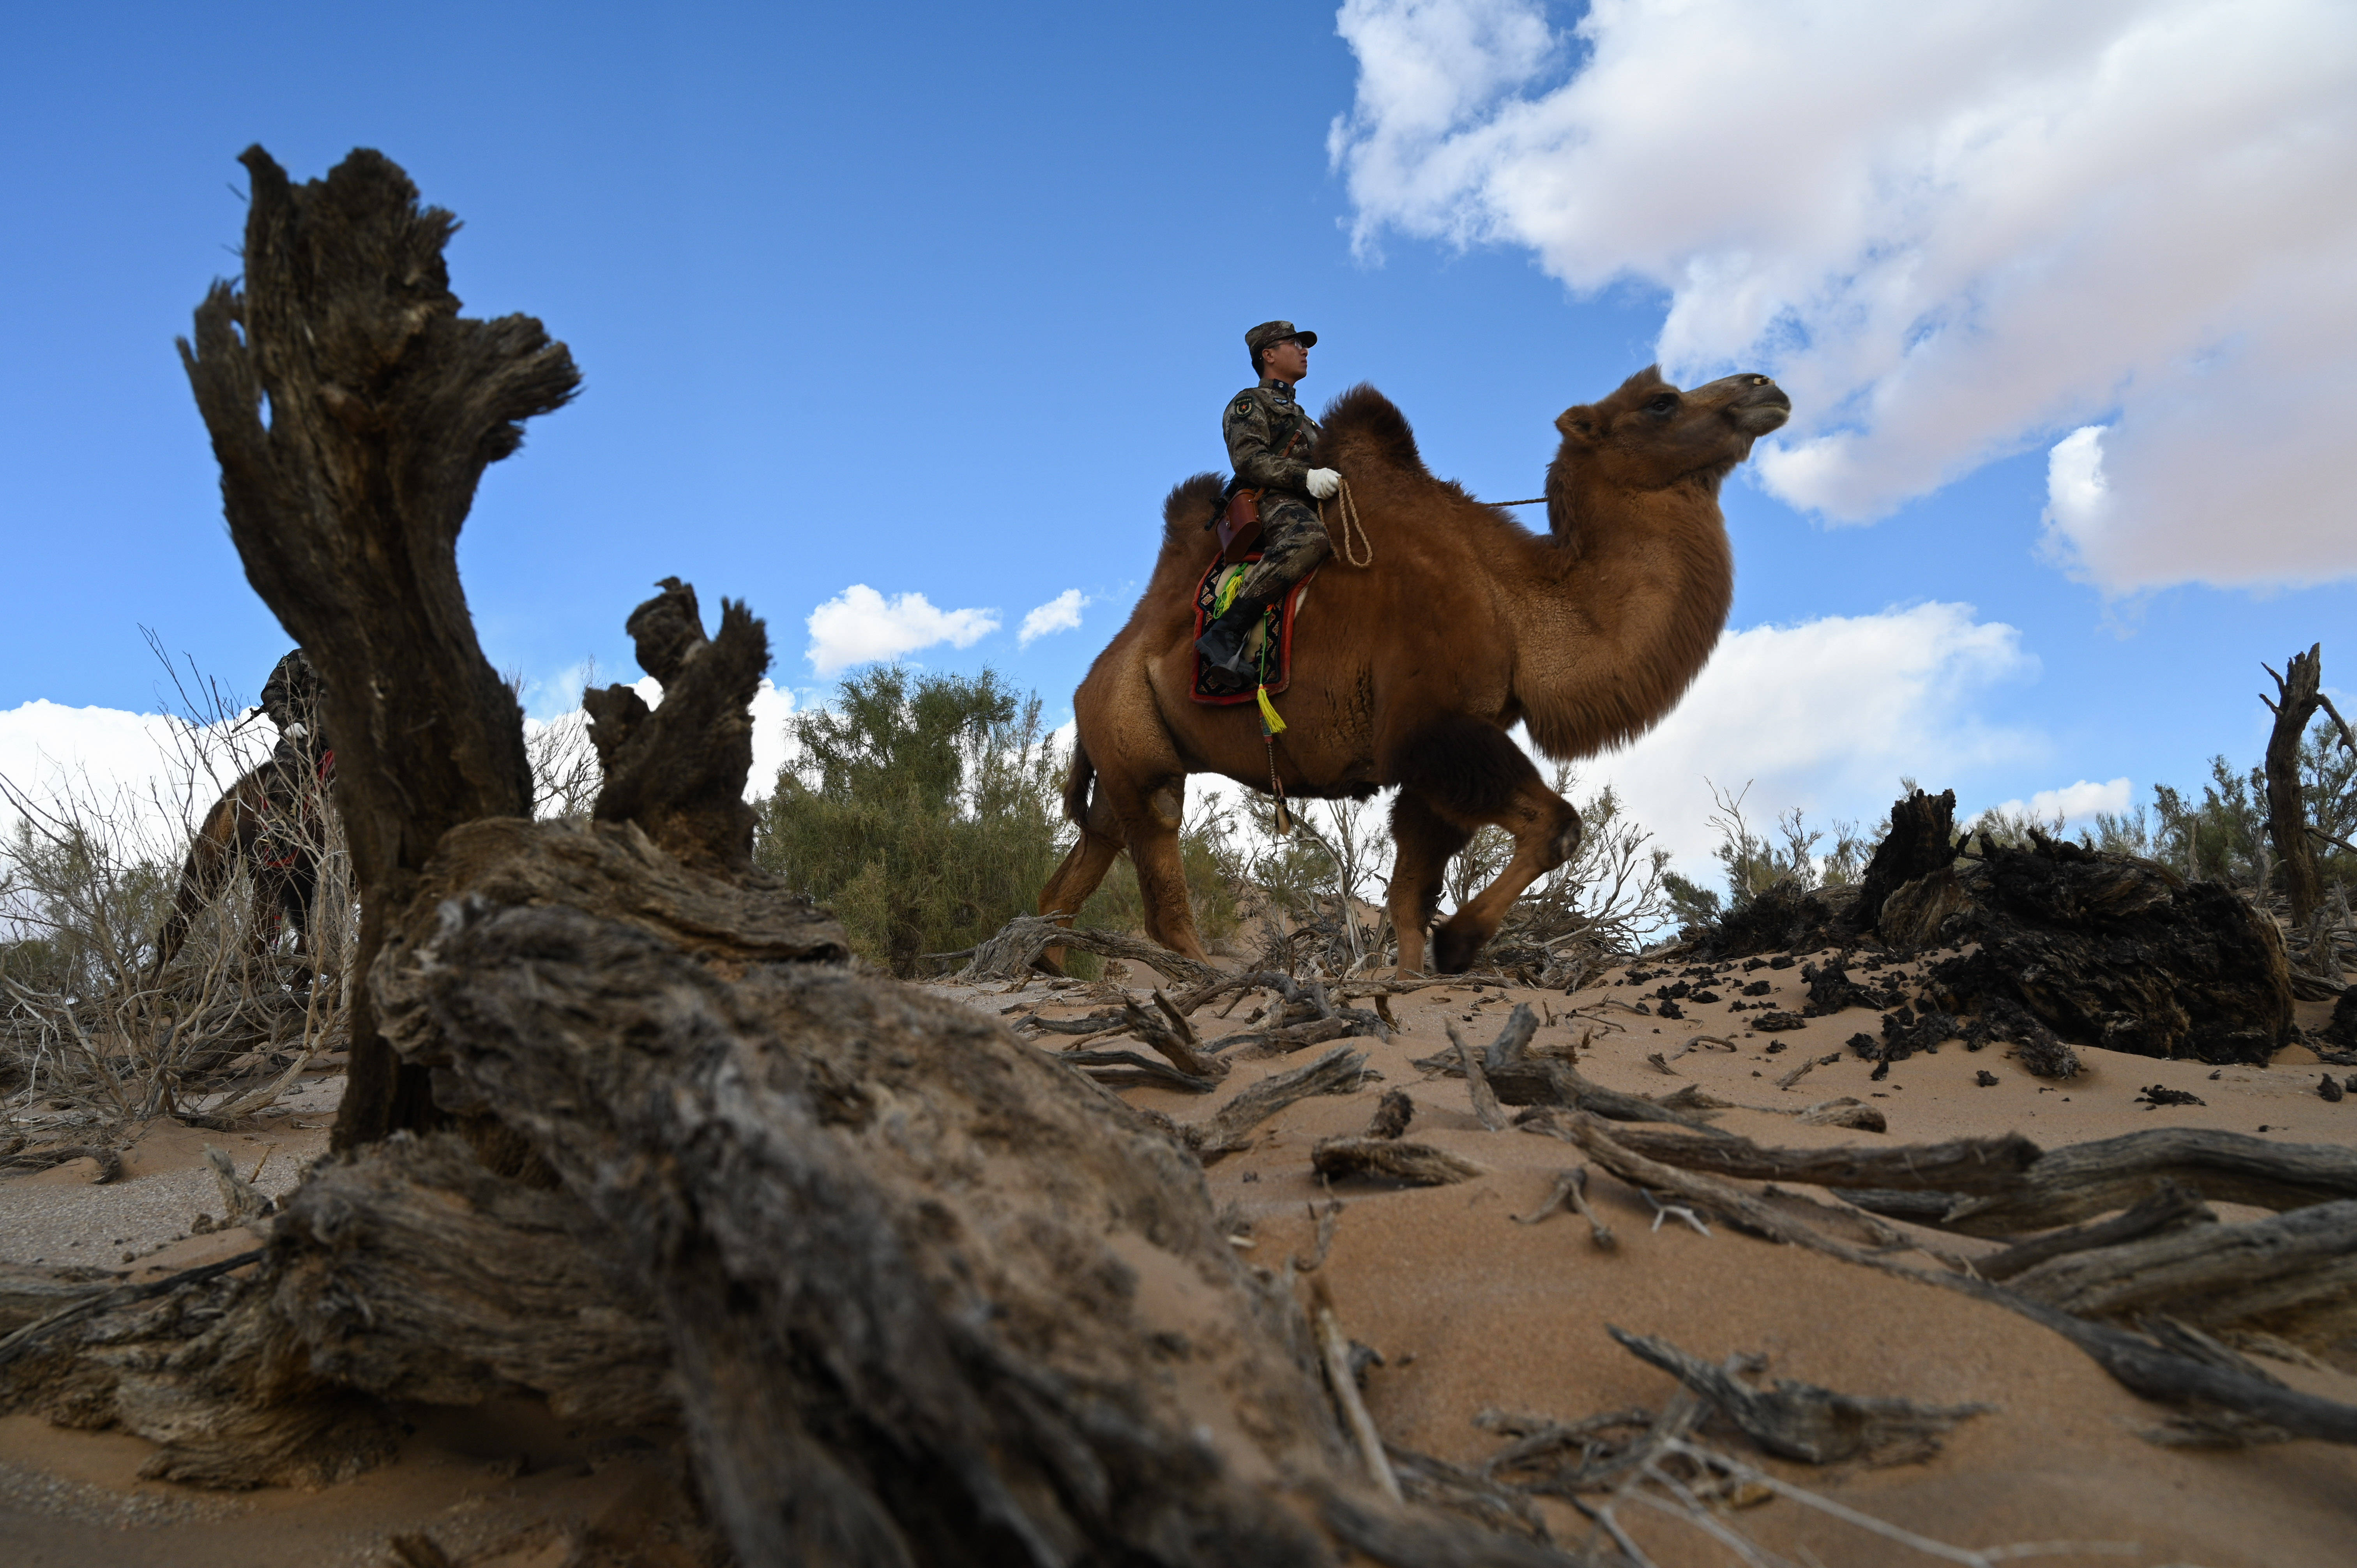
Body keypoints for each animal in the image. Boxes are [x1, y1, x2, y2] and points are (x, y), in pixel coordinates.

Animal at [1042, 367, 1791, 971]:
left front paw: (1410, 980)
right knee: (1160, 870)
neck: (1510, 598)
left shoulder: (1443, 748)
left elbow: (1408, 897)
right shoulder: (1430, 727)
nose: (1765, 387)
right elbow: (1557, 827)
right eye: (1662, 401)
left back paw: (1043, 967)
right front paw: (1459, 943)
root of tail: (1090, 680)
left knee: (1085, 857)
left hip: (1124, 756)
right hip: (1133, 738)